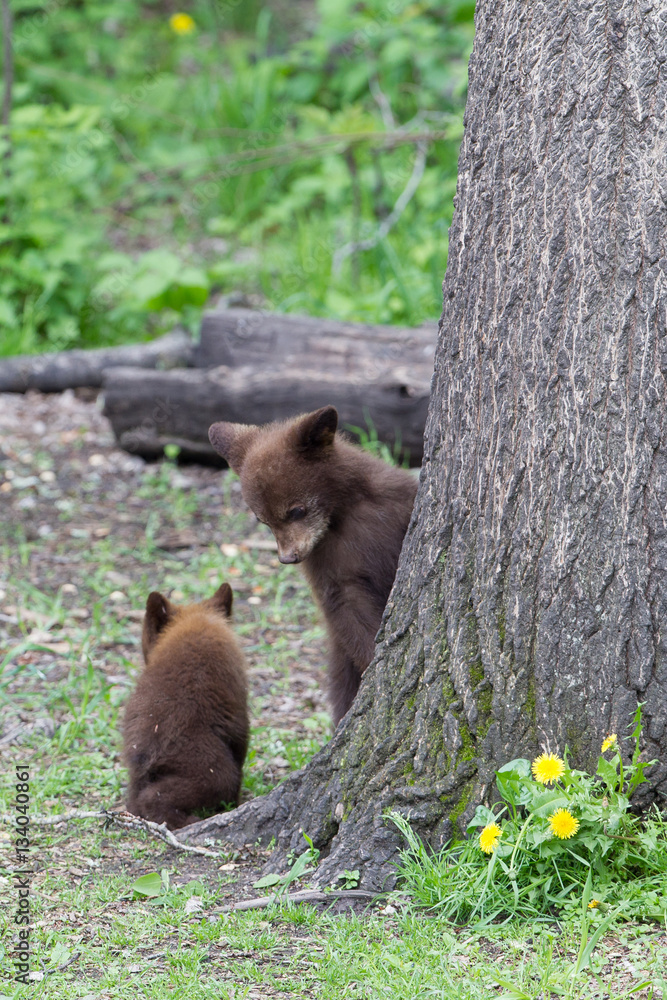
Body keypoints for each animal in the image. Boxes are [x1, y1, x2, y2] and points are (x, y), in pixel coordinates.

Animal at [208, 406, 417, 725]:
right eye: (262, 519)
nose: (288, 557)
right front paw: (373, 658)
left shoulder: (397, 505)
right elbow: (345, 604)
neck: (342, 513)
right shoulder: (327, 560)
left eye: (296, 510)